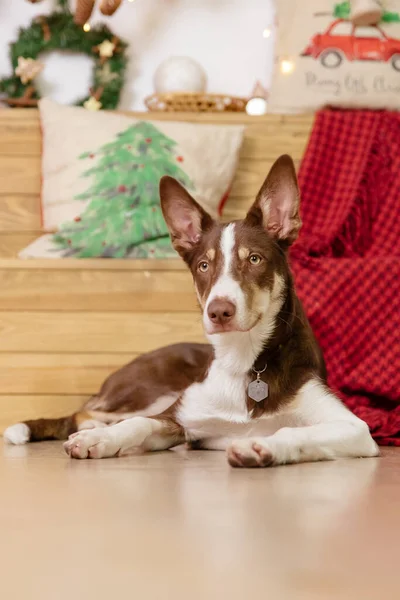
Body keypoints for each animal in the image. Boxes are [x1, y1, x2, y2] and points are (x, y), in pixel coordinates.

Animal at [3, 157, 378, 466]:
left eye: (254, 259)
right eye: (203, 266)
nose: (219, 311)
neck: (244, 361)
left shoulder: (354, 428)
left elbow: (293, 431)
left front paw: (261, 446)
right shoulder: (177, 417)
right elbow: (137, 425)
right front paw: (100, 439)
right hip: (149, 390)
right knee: (88, 411)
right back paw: (90, 426)